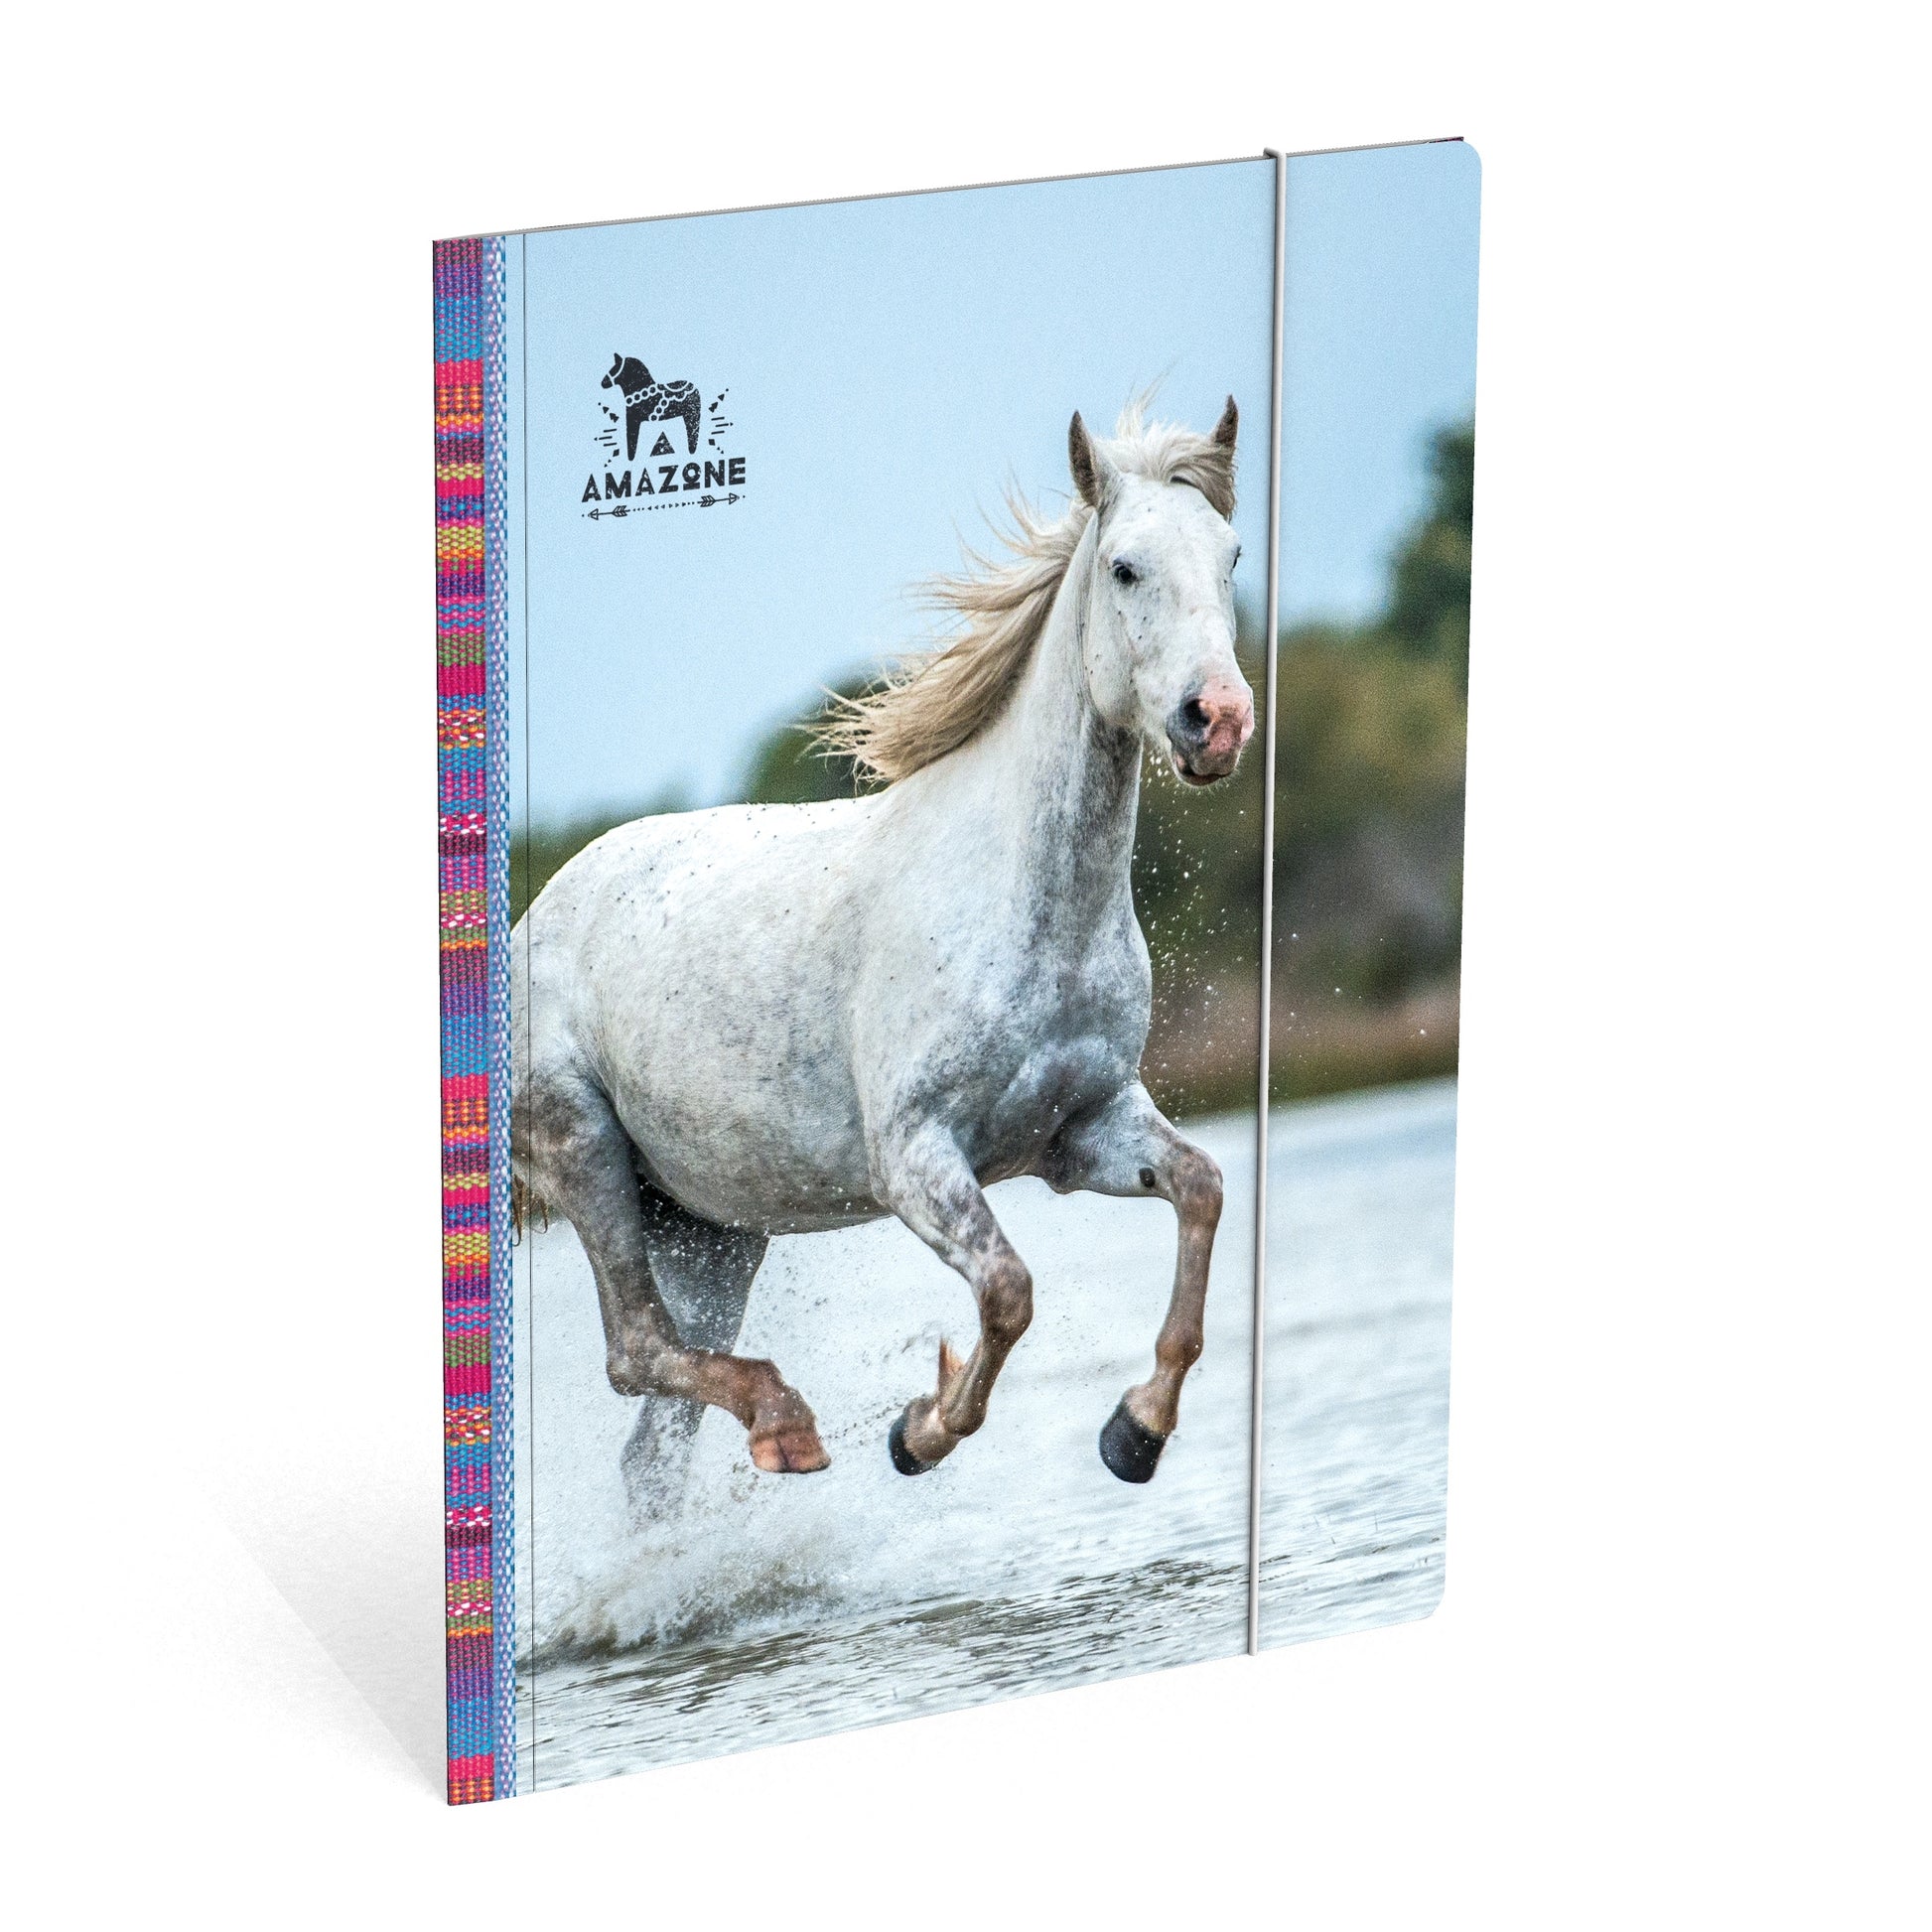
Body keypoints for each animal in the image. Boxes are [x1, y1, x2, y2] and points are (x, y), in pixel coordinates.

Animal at [512, 399, 1254, 1504]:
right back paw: (788, 1423)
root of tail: (521, 924)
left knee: (651, 1445)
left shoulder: (1080, 1131)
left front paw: (1135, 1434)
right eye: (1125, 568)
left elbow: (1202, 1188)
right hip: (584, 1150)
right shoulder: (913, 1159)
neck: (1024, 903)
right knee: (632, 1351)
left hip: (711, 1233)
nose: (1218, 722)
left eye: (1231, 554)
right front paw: (917, 1432)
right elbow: (1008, 1291)